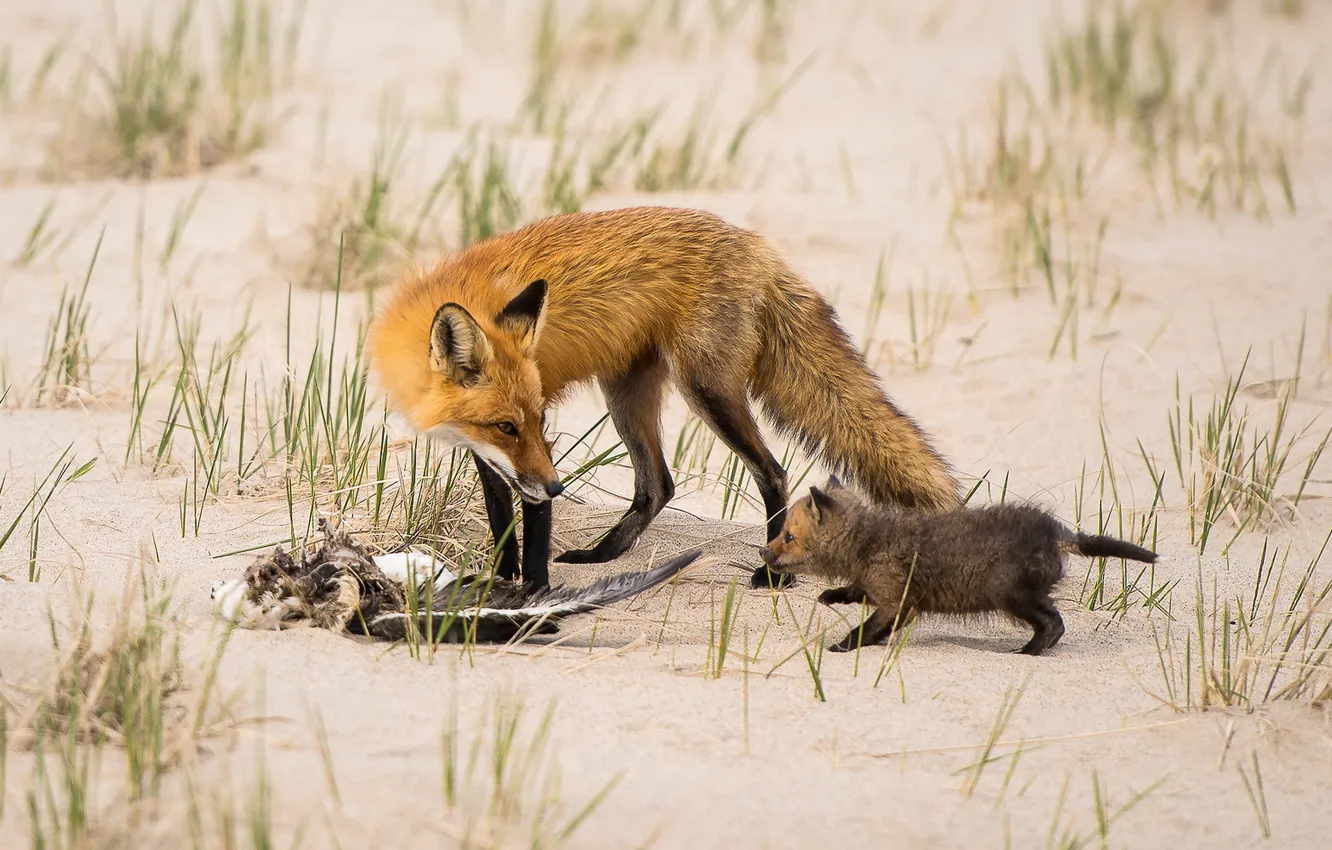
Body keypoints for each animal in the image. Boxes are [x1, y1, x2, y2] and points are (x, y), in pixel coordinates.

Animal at [367, 206, 960, 589]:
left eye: (538, 420)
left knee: (772, 471)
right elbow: (501, 518)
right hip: (626, 393)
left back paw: (772, 573)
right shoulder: (495, 454)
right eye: (505, 426)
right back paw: (604, 554)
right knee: (658, 484)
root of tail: (758, 247)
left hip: (707, 390)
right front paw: (500, 577)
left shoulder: (537, 450)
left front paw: (531, 591)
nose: (559, 487)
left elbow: (531, 520)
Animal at [759, 477, 1158, 655]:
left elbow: (869, 627)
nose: (764, 553)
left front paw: (844, 646)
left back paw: (1028, 652)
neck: (869, 541)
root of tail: (1056, 532)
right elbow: (858, 596)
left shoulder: (898, 601)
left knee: (1054, 623)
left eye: (788, 536)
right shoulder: (891, 597)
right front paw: (831, 596)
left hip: (1010, 593)